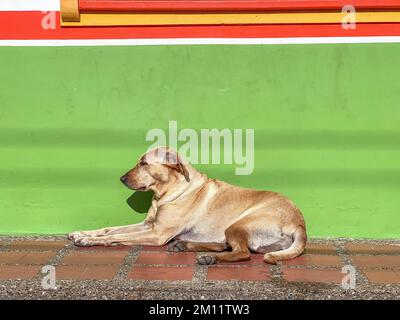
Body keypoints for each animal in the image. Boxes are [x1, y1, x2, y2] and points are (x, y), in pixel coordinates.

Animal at [68, 146, 306, 264]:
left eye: (144, 163)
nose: (121, 178)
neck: (166, 193)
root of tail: (299, 224)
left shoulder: (157, 234)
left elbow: (116, 236)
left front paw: (89, 240)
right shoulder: (148, 225)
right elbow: (110, 229)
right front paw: (84, 233)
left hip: (238, 224)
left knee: (242, 253)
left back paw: (209, 258)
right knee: (228, 246)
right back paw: (185, 245)